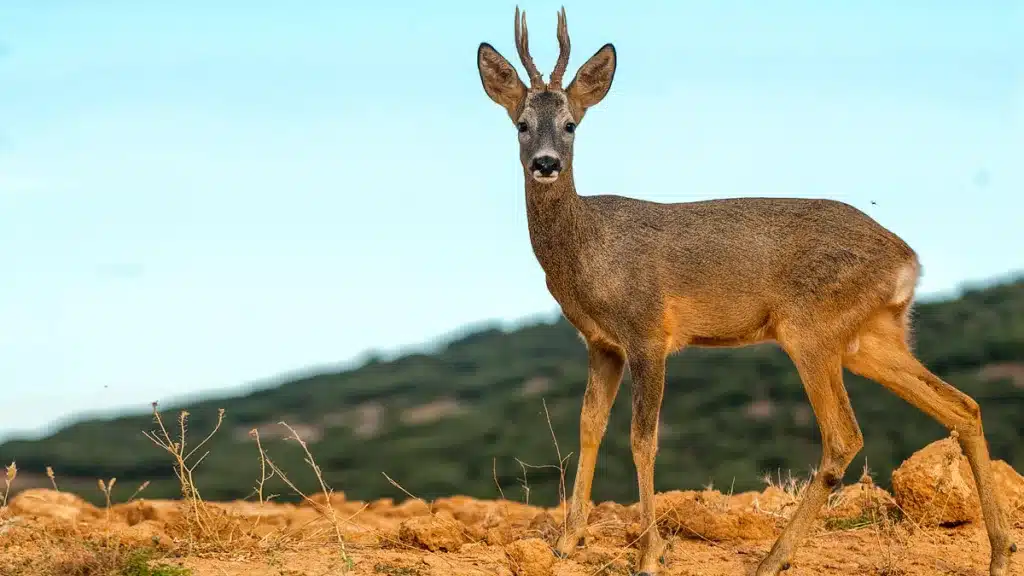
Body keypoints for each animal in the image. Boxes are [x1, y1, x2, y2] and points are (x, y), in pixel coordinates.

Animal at [473, 5, 1015, 573]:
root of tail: (908, 261)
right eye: (522, 124)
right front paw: (566, 541)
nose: (546, 163)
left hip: (811, 329)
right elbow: (588, 427)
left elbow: (642, 440)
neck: (588, 252)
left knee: (843, 435)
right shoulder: (603, 345)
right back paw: (1000, 552)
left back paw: (774, 557)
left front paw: (650, 553)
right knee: (962, 407)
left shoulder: (648, 334)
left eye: (571, 124)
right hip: (871, 338)